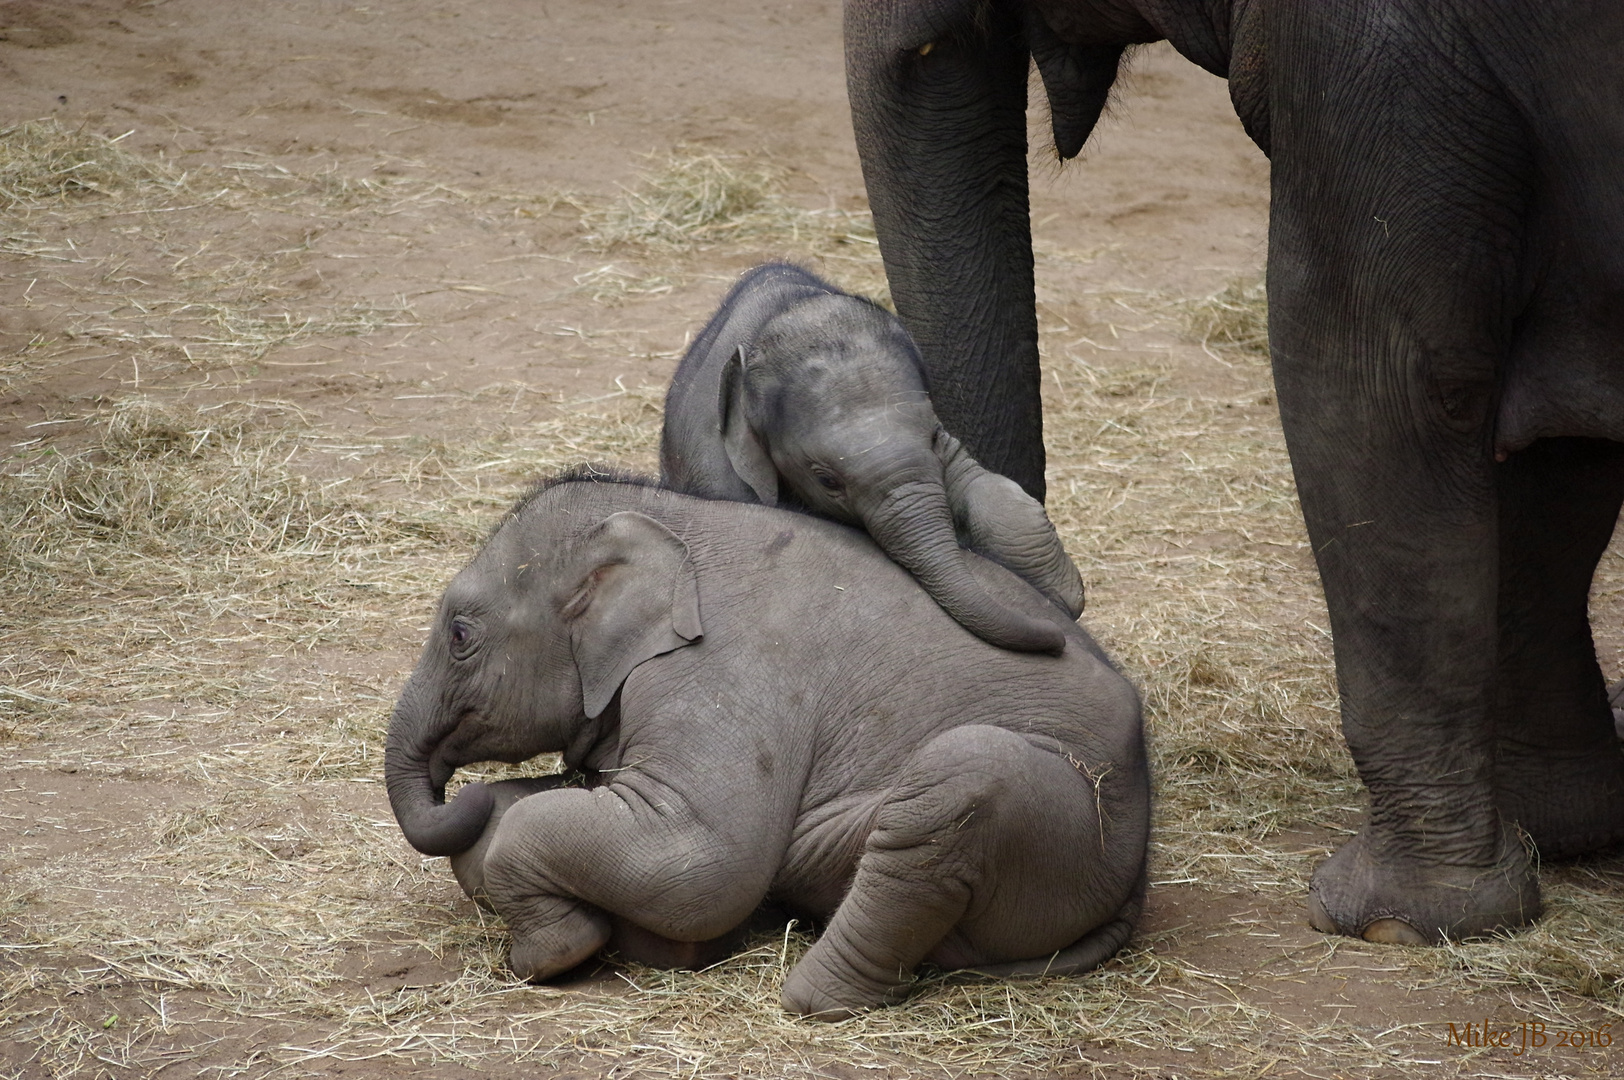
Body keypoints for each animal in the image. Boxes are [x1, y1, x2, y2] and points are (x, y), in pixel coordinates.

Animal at [381, 467, 1149, 1013]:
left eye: (460, 635)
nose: (458, 792)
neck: (673, 520)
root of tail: (1135, 883)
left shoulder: (725, 673)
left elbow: (700, 859)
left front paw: (553, 957)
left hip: (1071, 839)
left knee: (955, 785)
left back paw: (805, 996)